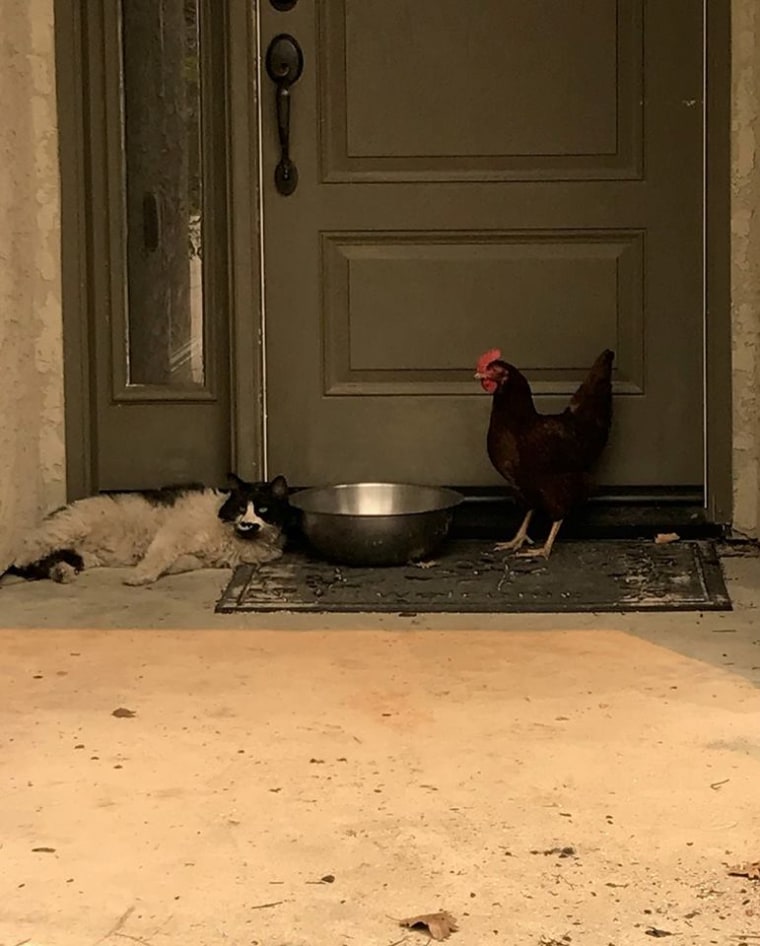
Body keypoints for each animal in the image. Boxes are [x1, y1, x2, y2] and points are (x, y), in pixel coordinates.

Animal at [2, 472, 294, 584]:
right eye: (241, 507)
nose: (247, 523)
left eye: (263, 510)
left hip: (85, 555)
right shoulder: (173, 532)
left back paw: (63, 572)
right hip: (66, 530)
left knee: (50, 561)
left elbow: (182, 562)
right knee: (24, 558)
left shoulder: (202, 557)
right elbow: (158, 556)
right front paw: (139, 576)